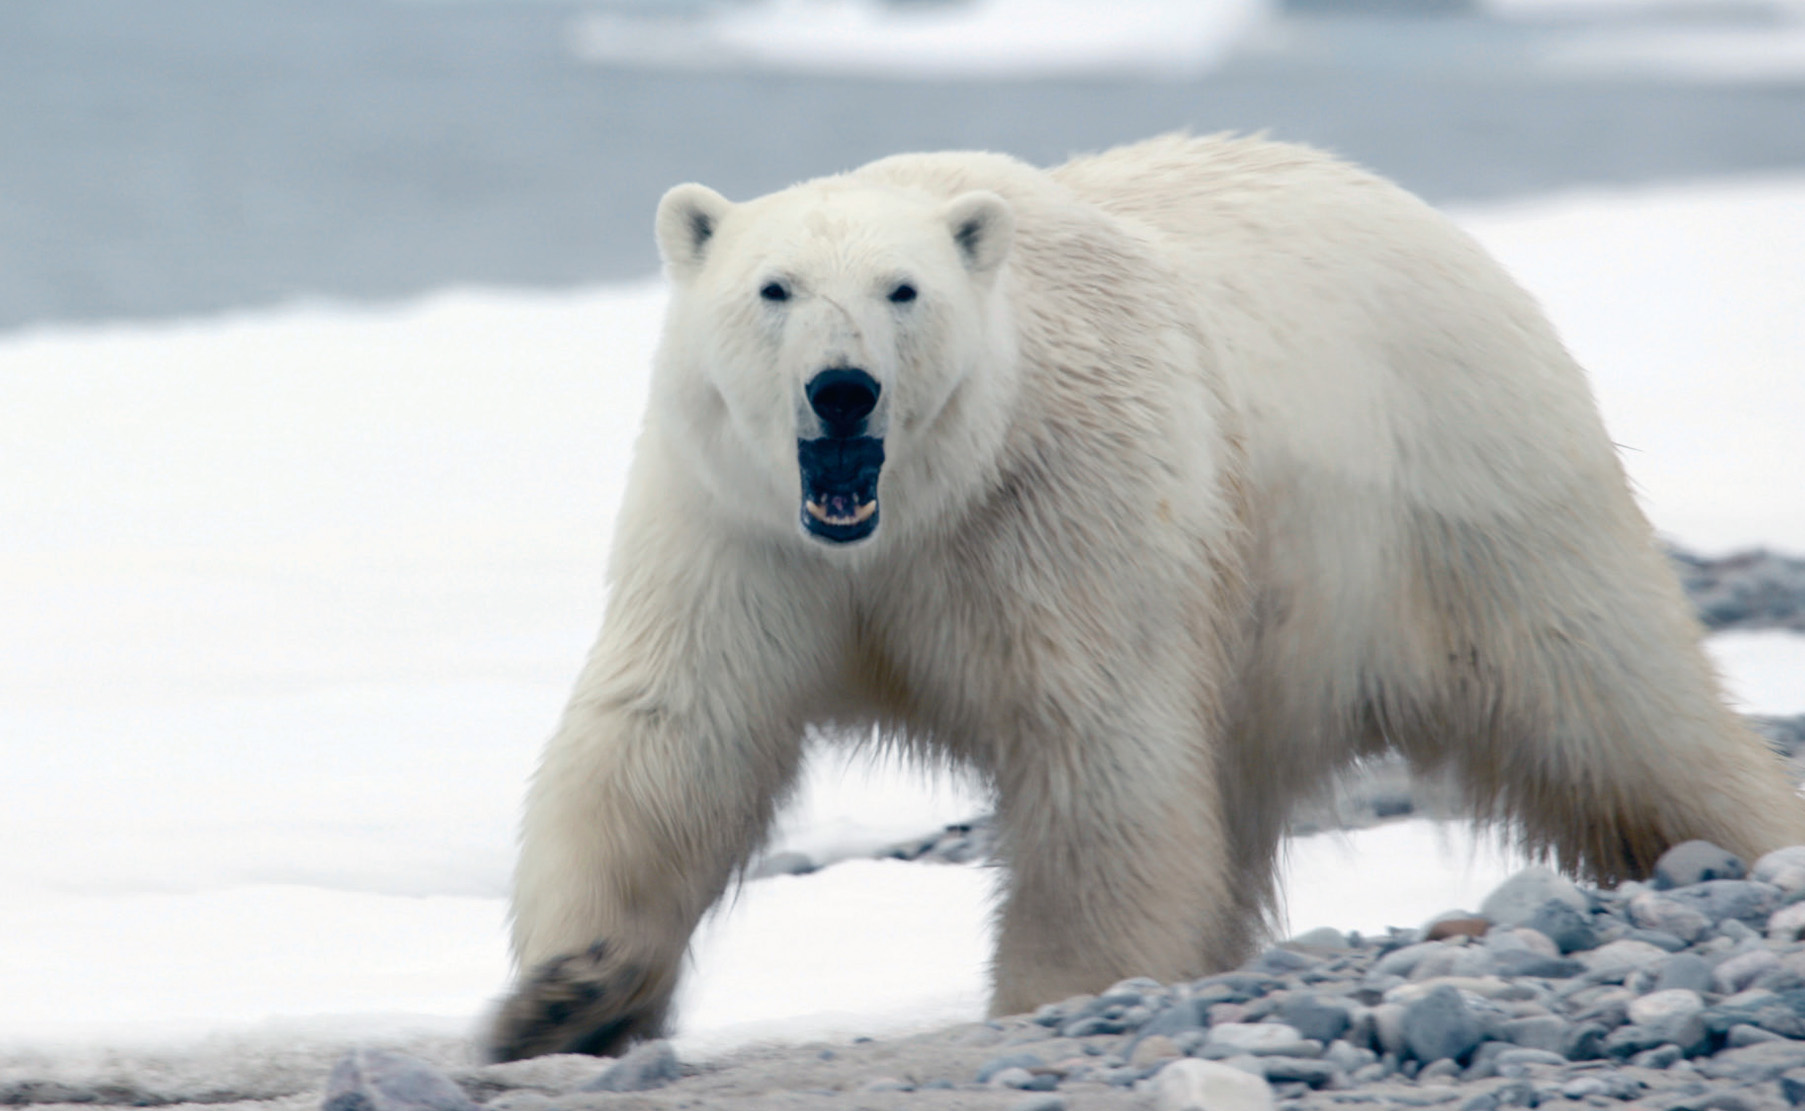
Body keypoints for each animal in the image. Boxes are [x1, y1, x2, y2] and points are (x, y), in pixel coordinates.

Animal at [487, 132, 1805, 1060]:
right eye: (774, 287)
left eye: (901, 289)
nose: (843, 389)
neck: (912, 513)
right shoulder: (743, 533)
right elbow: (673, 731)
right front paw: (567, 992)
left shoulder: (1062, 510)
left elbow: (1097, 754)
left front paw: (1058, 994)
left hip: (1469, 489)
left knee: (1616, 703)